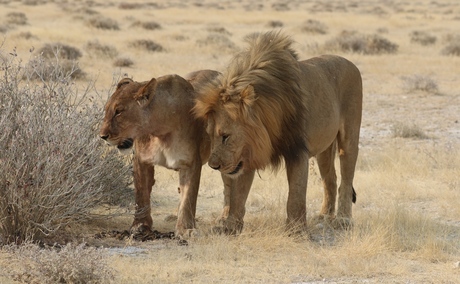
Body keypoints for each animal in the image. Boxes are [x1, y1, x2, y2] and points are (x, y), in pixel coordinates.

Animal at [100, 70, 221, 236]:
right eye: (107, 109)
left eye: (119, 112)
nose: (102, 136)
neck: (161, 131)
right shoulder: (141, 160)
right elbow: (141, 195)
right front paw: (140, 225)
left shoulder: (191, 163)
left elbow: (189, 197)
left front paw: (185, 229)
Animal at [192, 31, 362, 235]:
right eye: (209, 135)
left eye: (225, 136)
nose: (213, 166)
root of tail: (350, 62)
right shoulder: (249, 152)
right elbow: (238, 195)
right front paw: (231, 226)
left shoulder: (297, 150)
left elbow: (296, 195)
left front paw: (296, 231)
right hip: (324, 148)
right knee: (330, 180)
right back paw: (324, 216)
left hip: (349, 137)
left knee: (346, 179)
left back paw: (344, 219)